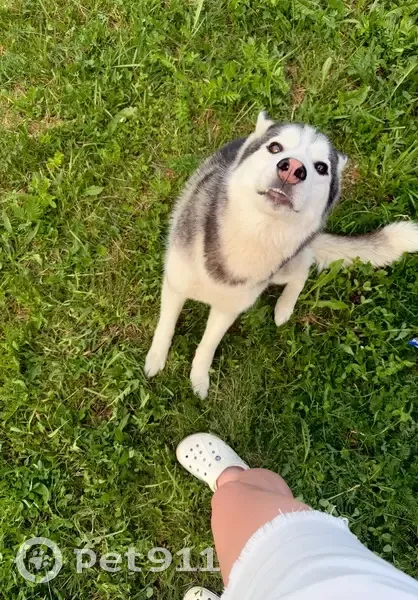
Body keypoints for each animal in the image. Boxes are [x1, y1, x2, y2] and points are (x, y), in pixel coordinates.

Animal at [145, 111, 418, 398]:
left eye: (321, 167)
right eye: (275, 147)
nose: (293, 168)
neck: (254, 232)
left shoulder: (228, 310)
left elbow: (208, 345)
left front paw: (199, 376)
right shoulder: (175, 285)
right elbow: (166, 326)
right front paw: (156, 358)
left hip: (285, 267)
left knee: (303, 270)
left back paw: (284, 307)